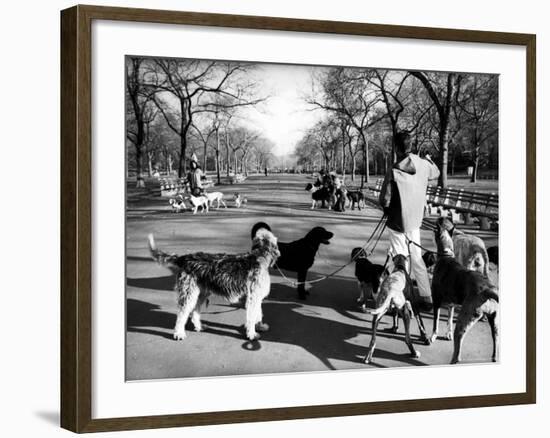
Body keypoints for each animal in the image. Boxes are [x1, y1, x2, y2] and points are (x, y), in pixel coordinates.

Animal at [150, 229, 282, 342]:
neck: (259, 256)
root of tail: (184, 258)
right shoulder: (253, 297)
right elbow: (252, 316)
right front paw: (252, 334)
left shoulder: (256, 297)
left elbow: (258, 313)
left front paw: (259, 326)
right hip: (189, 292)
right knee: (182, 314)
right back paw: (179, 333)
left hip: (201, 293)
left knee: (195, 312)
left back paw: (200, 327)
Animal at [434, 226, 502, 362]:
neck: (446, 255)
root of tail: (488, 290)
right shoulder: (451, 303)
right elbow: (449, 318)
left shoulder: (436, 299)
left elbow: (436, 320)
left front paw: (432, 336)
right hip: (494, 323)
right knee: (495, 340)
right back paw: (494, 358)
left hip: (463, 322)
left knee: (457, 352)